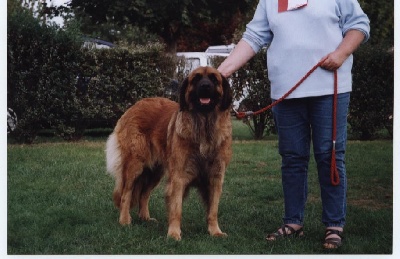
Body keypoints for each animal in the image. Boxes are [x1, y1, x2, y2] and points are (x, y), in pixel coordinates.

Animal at [104, 66, 233, 241]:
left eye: (214, 79)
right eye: (196, 79)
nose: (205, 86)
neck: (203, 125)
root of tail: (134, 106)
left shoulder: (215, 177)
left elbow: (213, 210)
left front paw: (215, 231)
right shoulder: (178, 176)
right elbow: (176, 208)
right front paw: (173, 233)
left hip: (155, 171)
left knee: (144, 194)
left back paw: (145, 218)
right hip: (135, 165)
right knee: (126, 193)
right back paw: (125, 220)